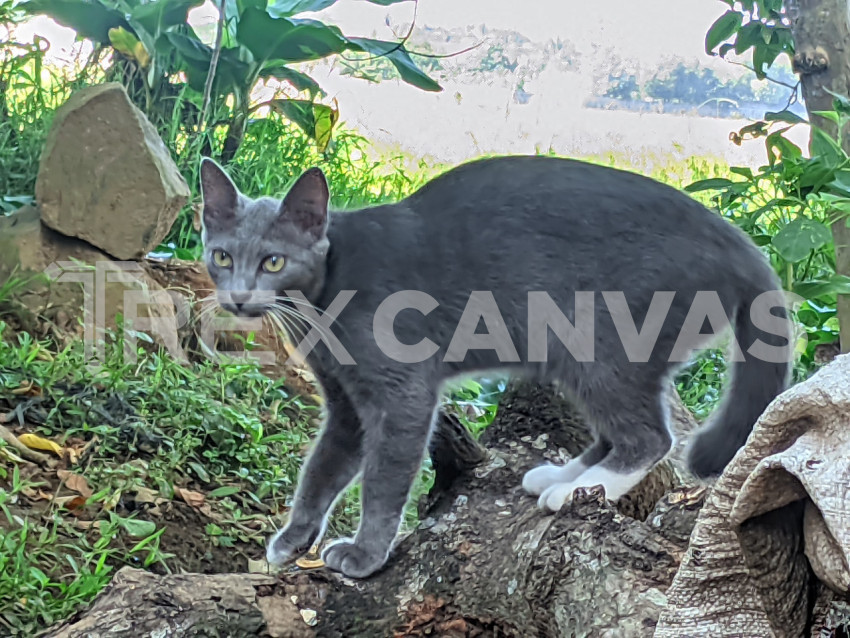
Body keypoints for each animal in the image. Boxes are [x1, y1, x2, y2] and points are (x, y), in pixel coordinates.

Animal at [199, 154, 788, 580]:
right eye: (222, 256)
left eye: (273, 261)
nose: (239, 298)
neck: (325, 296)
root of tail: (741, 247)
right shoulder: (345, 401)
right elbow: (322, 467)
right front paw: (293, 539)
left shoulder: (403, 392)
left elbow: (384, 479)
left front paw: (366, 556)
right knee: (619, 430)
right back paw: (563, 478)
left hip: (602, 338)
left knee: (650, 437)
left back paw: (573, 491)